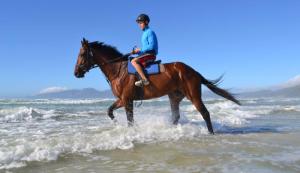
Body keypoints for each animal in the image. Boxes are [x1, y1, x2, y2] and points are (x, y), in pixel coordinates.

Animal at [75, 38, 241, 134]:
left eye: (82, 54)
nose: (76, 73)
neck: (118, 70)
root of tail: (193, 70)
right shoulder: (122, 100)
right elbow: (109, 111)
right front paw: (116, 123)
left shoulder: (127, 100)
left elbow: (130, 120)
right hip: (174, 96)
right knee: (176, 116)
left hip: (193, 95)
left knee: (205, 113)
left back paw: (210, 133)